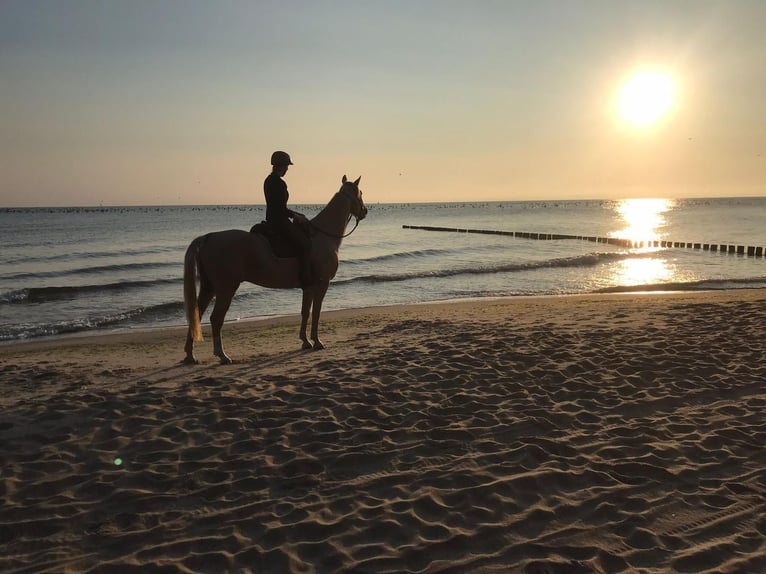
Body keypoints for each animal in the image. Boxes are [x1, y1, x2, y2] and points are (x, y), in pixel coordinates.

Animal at [184, 176, 368, 364]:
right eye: (360, 193)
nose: (365, 211)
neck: (323, 236)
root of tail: (209, 237)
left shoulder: (308, 287)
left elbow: (305, 312)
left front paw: (305, 341)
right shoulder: (322, 285)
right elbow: (316, 313)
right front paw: (317, 342)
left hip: (209, 288)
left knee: (196, 315)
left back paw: (191, 355)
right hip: (226, 289)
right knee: (216, 319)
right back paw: (222, 355)